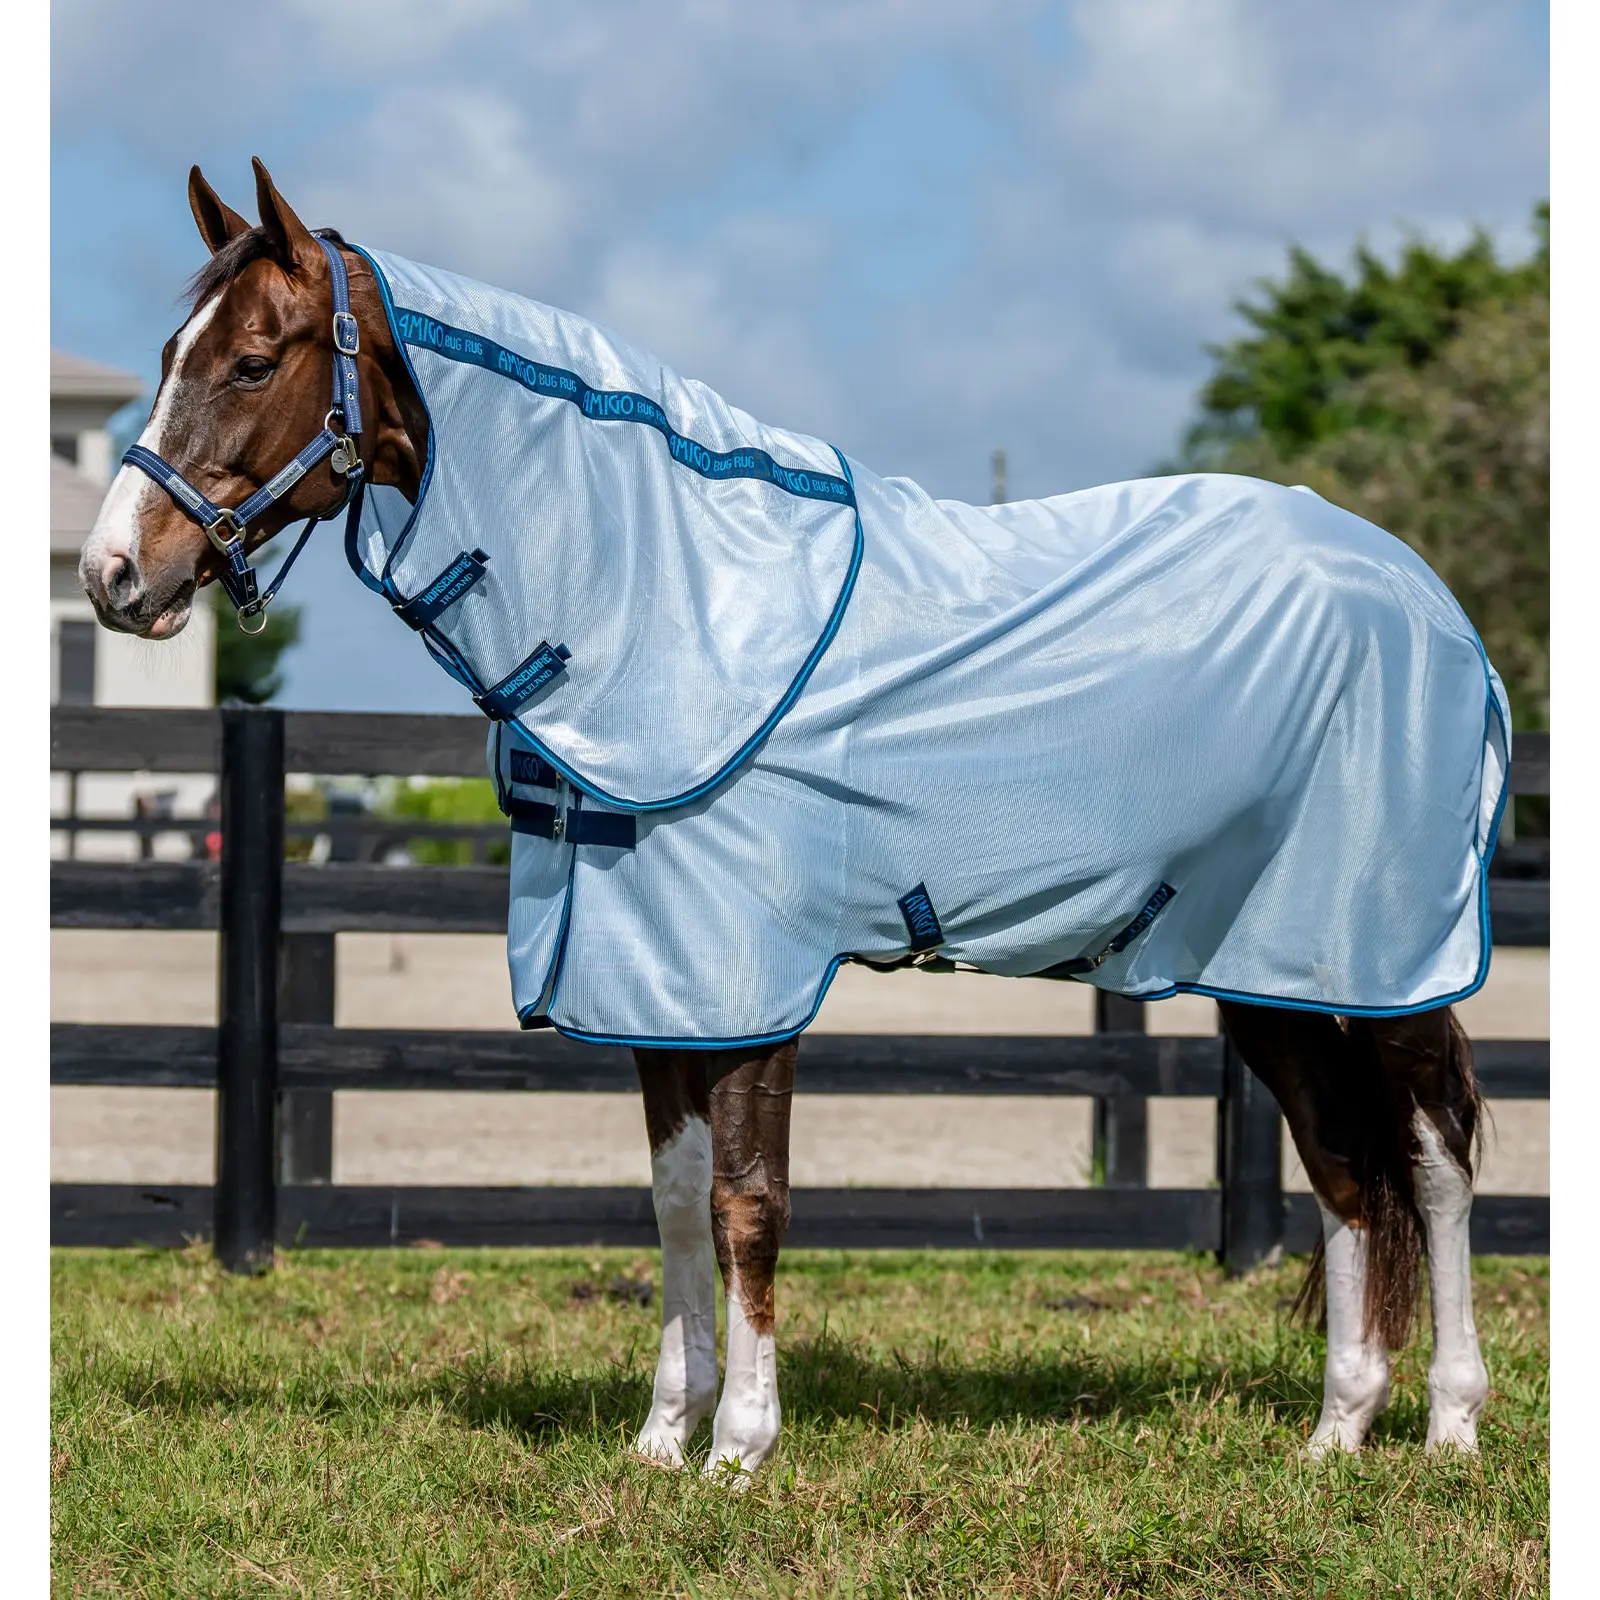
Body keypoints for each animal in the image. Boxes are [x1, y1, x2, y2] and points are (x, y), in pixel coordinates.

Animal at [79, 159, 1496, 1478]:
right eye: (168, 357)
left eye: (252, 360)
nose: (112, 577)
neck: (666, 591)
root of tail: (1423, 597)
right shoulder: (653, 982)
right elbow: (671, 1200)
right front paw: (664, 1435)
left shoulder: (745, 977)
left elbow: (747, 1202)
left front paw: (741, 1448)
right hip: (1271, 972)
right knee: (1343, 1168)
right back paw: (1335, 1432)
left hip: (1391, 968)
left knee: (1432, 1160)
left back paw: (1448, 1427)